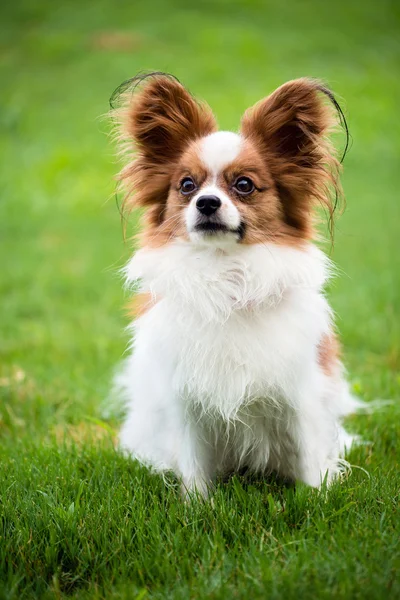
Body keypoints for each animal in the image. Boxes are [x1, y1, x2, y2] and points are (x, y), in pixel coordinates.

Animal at [110, 72, 362, 494]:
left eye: (244, 185)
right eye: (187, 186)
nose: (207, 203)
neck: (225, 275)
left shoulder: (300, 393)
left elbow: (310, 457)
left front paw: (317, 498)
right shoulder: (186, 400)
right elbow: (194, 464)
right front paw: (198, 504)